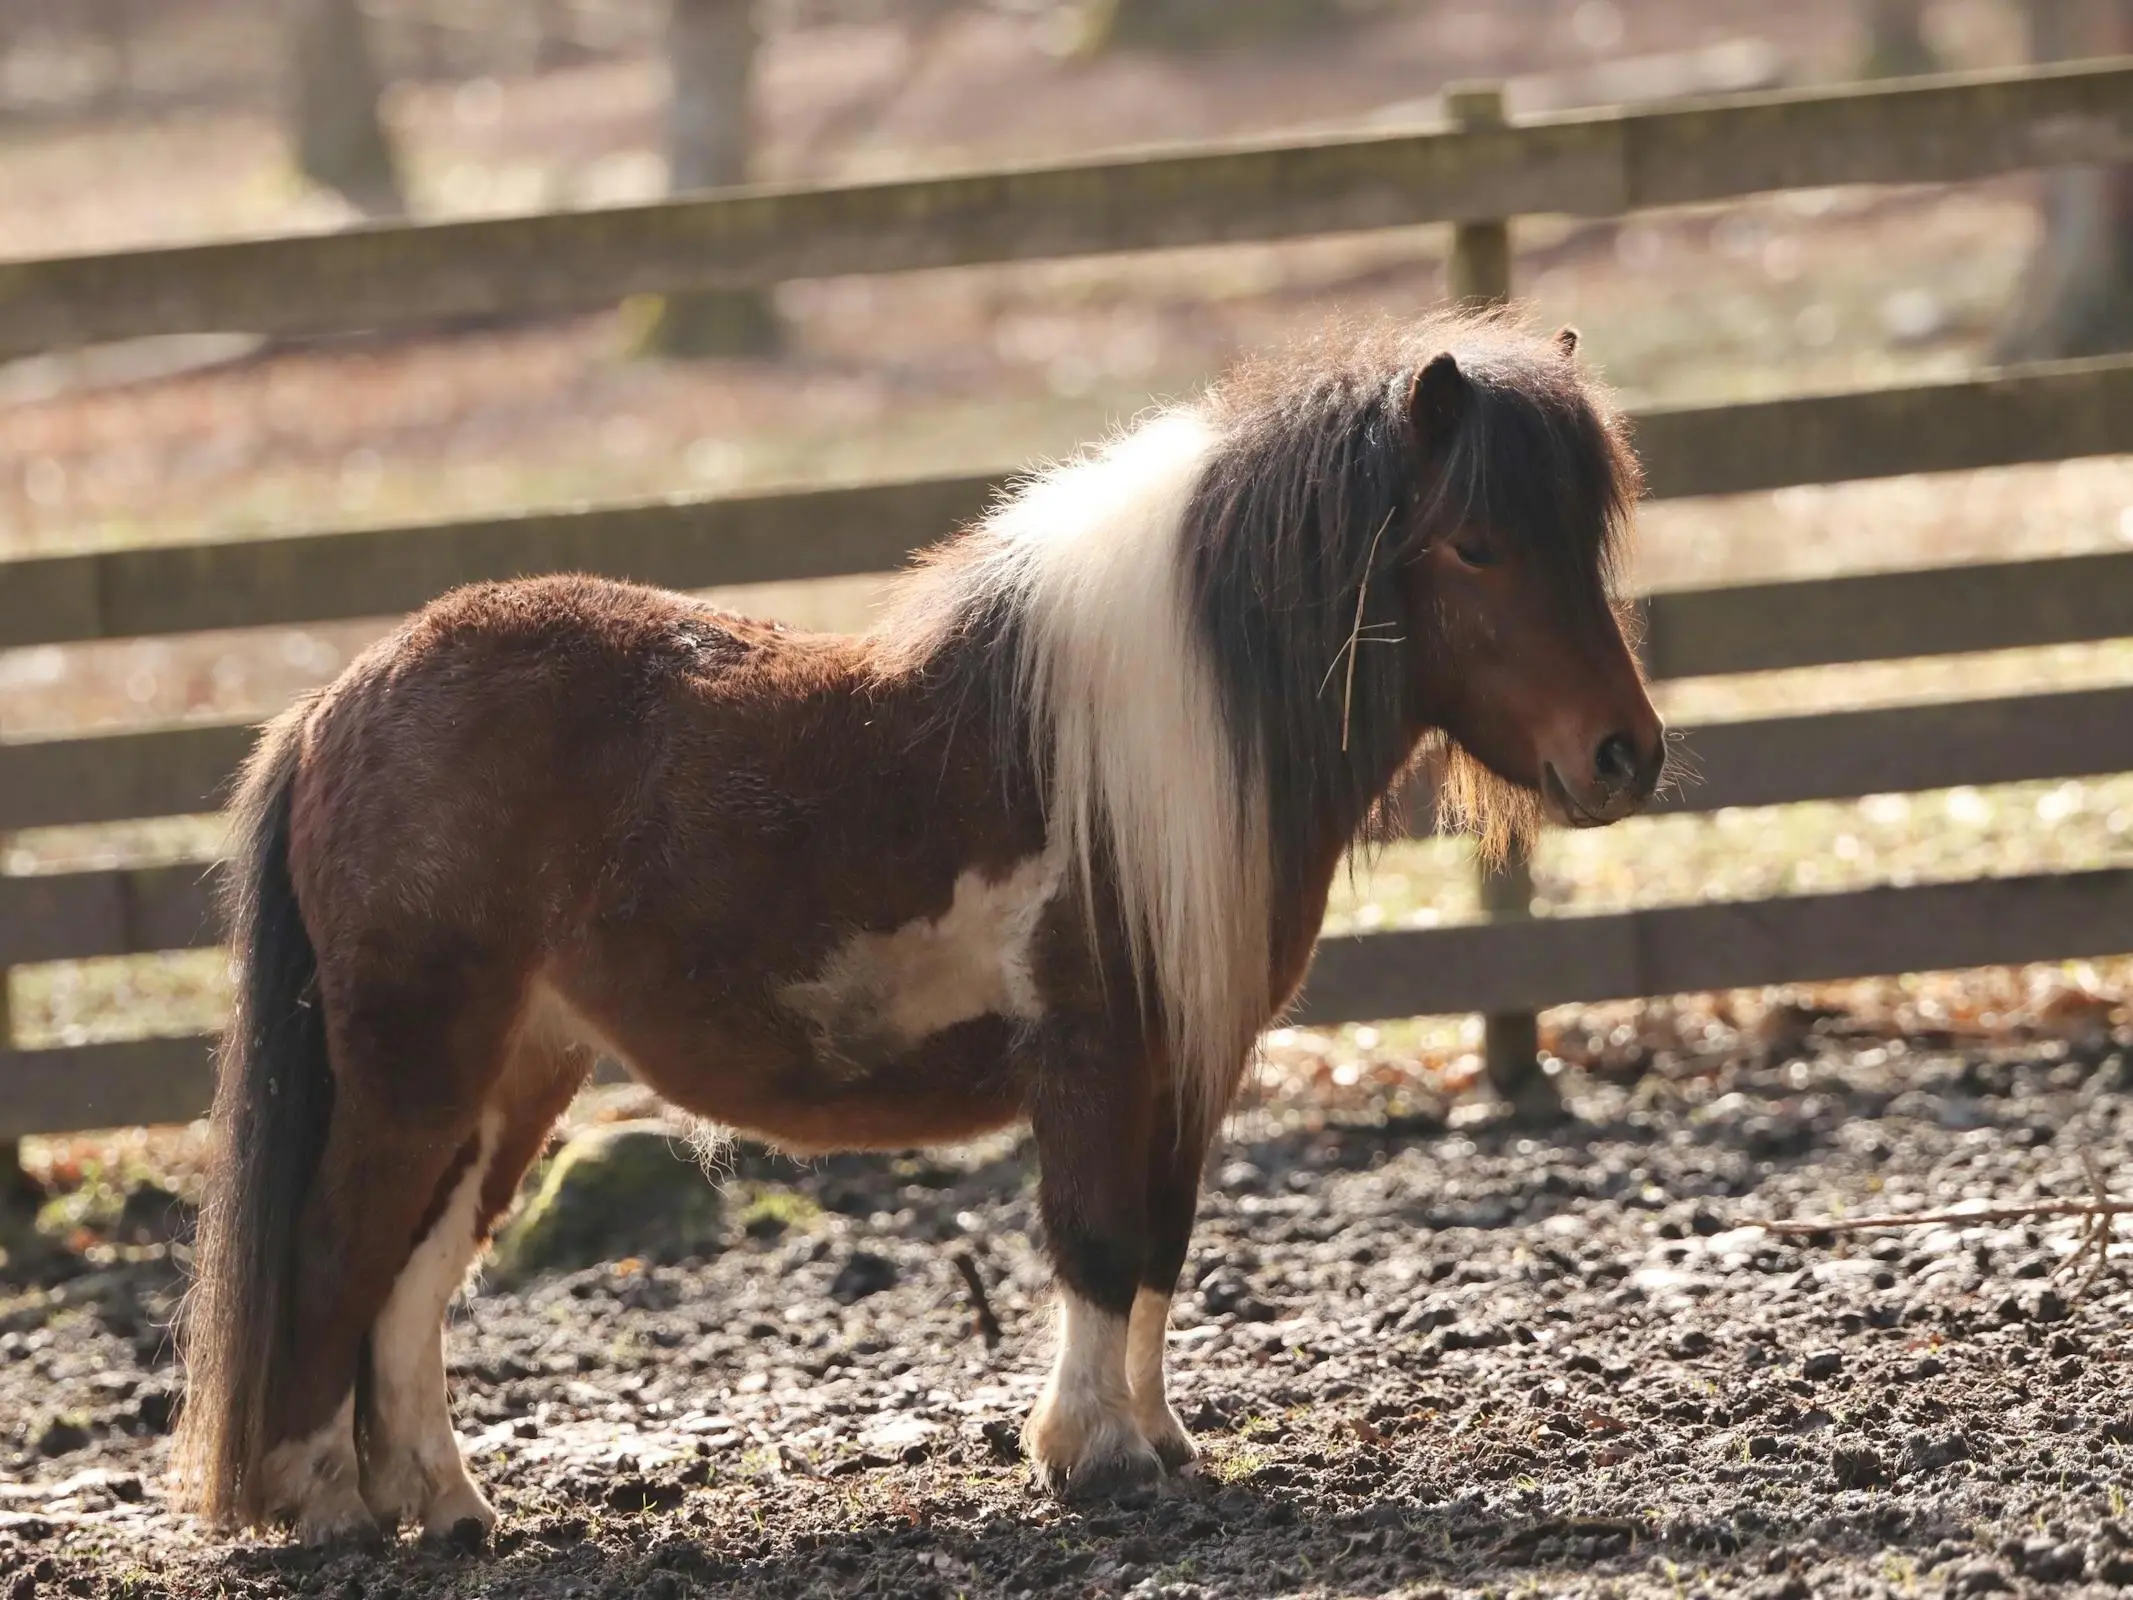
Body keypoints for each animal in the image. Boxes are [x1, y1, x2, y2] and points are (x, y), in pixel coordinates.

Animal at [170, 307, 1663, 1544]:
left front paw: (1162, 1441)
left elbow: (1160, 1245)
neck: (1147, 738)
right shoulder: (1093, 1052)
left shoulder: (1187, 1063)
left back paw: (449, 1510)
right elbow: (1095, 1243)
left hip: (510, 1077)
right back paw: (326, 1508)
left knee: (410, 1280)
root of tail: (336, 701)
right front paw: (1093, 1458)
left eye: (1586, 542)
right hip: (414, 1073)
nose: (1625, 756)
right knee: (336, 1258)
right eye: (1474, 545)